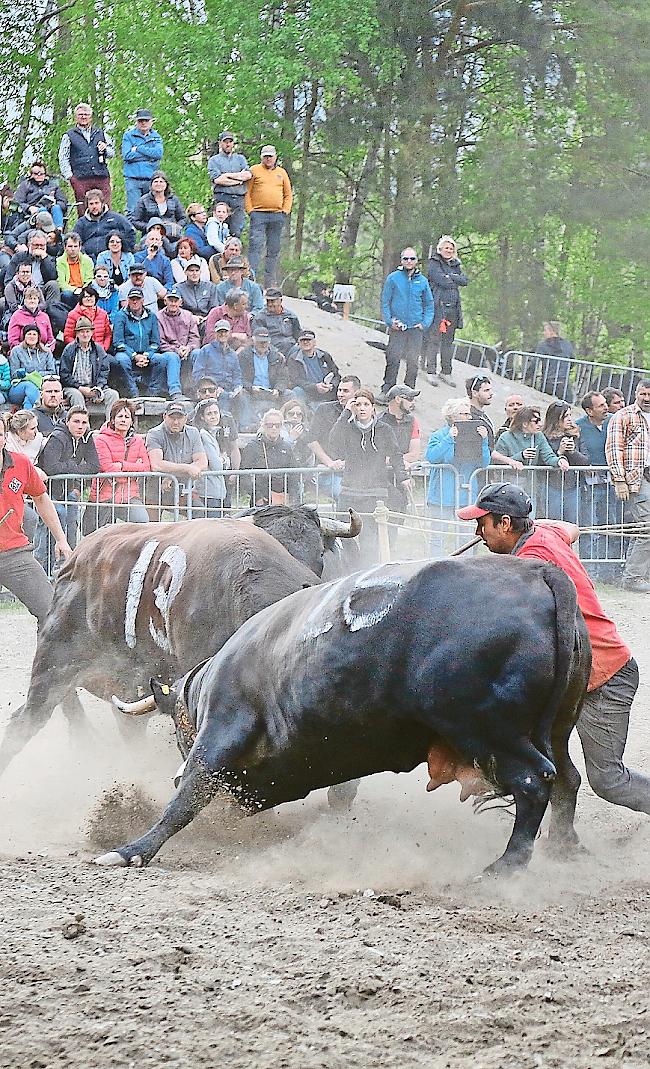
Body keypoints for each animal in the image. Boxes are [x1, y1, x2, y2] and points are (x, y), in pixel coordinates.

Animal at [100, 555, 590, 872]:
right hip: (554, 729)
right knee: (567, 779)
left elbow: (187, 796)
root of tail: (536, 572)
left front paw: (131, 850)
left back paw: (506, 866)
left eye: (181, 732)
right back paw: (563, 848)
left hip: (487, 731)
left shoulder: (222, 732)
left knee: (535, 781)